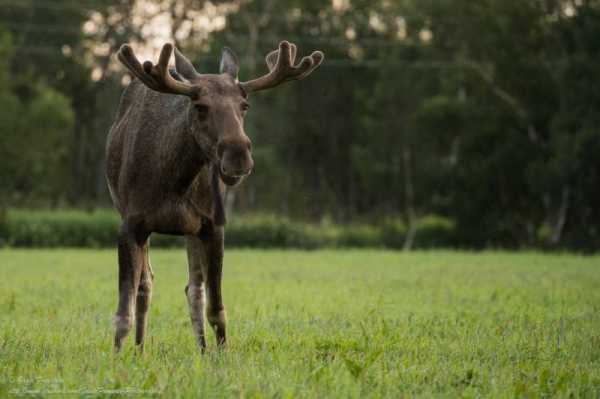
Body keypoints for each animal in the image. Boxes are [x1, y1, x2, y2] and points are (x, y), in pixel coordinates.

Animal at [105, 40, 326, 352]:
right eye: (200, 107)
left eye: (244, 105)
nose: (238, 154)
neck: (175, 182)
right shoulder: (130, 223)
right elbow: (123, 311)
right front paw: (117, 357)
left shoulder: (212, 224)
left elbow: (216, 308)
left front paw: (221, 356)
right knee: (146, 285)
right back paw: (140, 351)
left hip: (191, 229)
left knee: (193, 289)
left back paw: (200, 349)